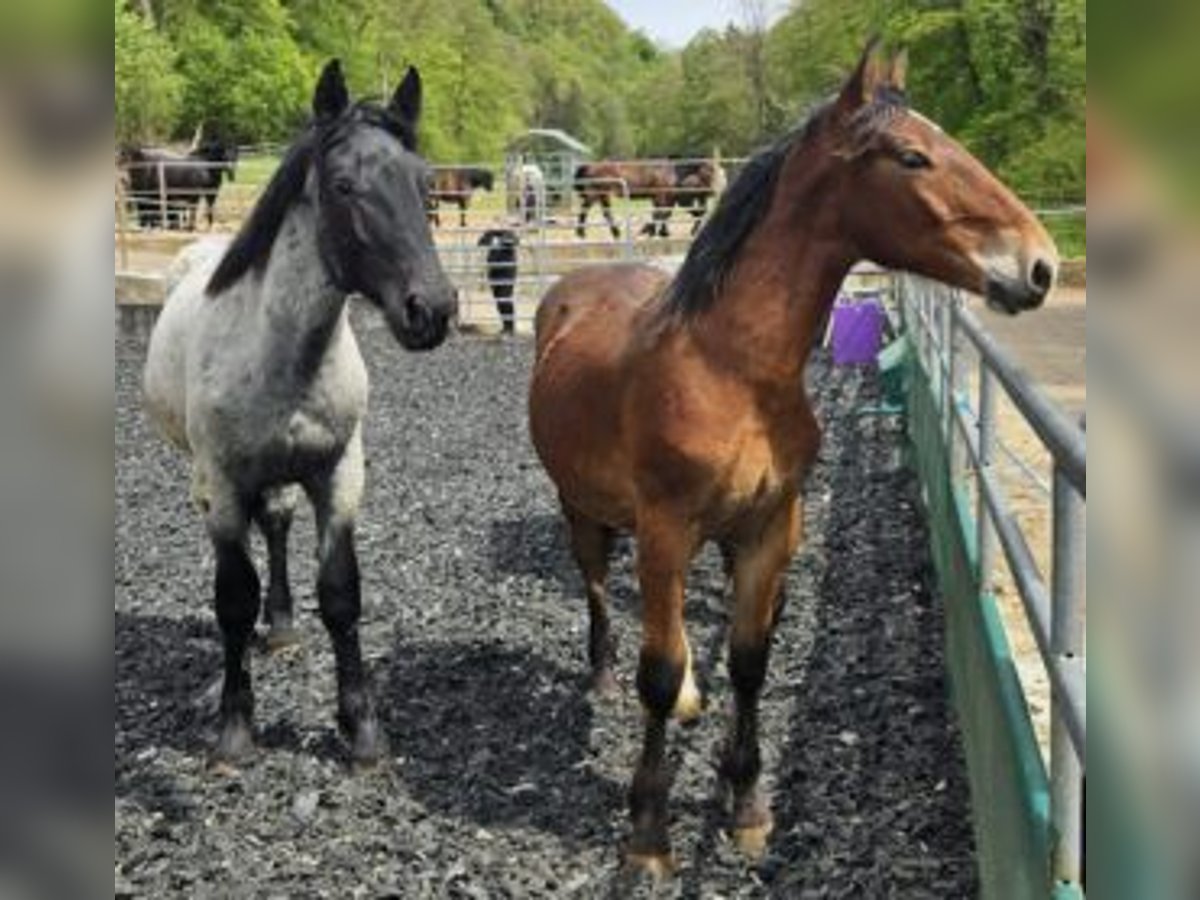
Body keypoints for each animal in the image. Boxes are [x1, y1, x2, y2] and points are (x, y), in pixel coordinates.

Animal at [141, 60, 458, 772]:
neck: (279, 355)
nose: (433, 310)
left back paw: (283, 626)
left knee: (279, 524)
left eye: (425, 184)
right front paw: (235, 729)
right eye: (343, 186)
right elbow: (233, 600)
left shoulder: (339, 475)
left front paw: (361, 728)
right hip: (206, 482)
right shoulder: (225, 486)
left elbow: (340, 594)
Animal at [530, 42, 1056, 883]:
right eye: (913, 156)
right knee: (598, 586)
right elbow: (656, 673)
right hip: (581, 506)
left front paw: (746, 805)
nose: (1040, 266)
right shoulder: (665, 530)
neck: (731, 371)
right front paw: (647, 833)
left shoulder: (769, 528)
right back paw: (603, 673)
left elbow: (749, 660)